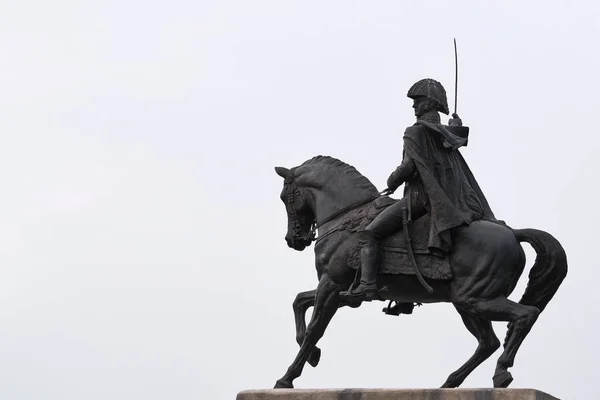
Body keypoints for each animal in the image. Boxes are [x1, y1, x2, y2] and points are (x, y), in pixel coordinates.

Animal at [272, 155, 568, 390]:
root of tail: (513, 233)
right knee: (488, 342)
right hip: (467, 303)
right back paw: (450, 383)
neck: (348, 218)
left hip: (476, 299)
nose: (293, 240)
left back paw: (501, 371)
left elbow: (314, 328)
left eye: (285, 197)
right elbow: (299, 302)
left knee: (524, 316)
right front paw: (312, 355)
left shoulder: (332, 285)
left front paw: (287, 378)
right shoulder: (342, 291)